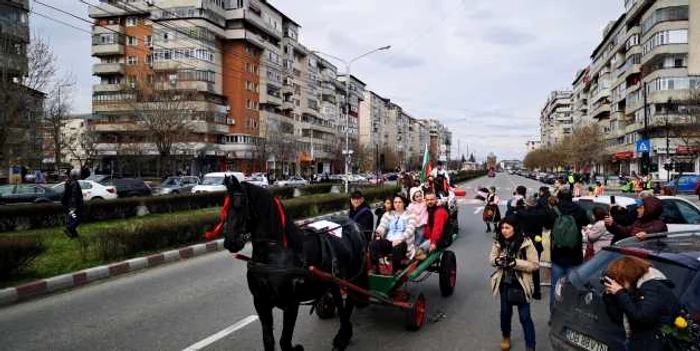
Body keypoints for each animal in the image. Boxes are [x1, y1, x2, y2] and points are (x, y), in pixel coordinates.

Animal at [208, 176, 370, 351]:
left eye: (239, 204)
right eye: (224, 207)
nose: (230, 242)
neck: (273, 254)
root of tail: (355, 225)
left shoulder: (291, 304)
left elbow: (284, 342)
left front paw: (297, 348)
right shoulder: (260, 302)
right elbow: (268, 340)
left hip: (352, 278)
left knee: (349, 301)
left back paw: (343, 336)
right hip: (333, 279)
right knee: (339, 299)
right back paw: (343, 334)